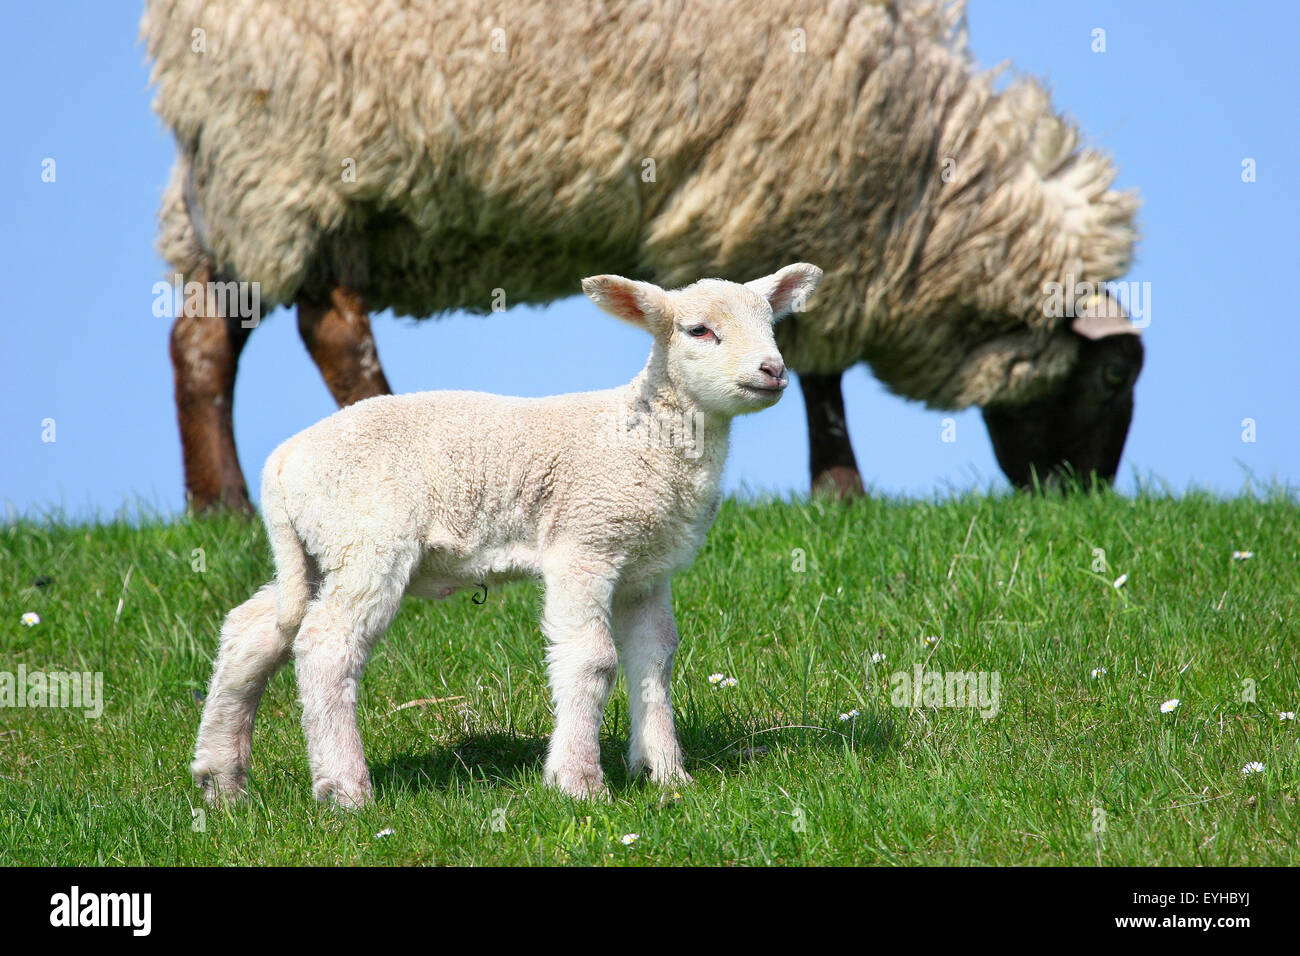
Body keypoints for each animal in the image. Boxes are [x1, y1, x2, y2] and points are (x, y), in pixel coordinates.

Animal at [143, 0, 1142, 509]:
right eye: (1112, 378)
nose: (1083, 498)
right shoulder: (798, 193)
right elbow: (816, 364)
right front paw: (841, 489)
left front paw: (836, 486)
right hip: (301, 158)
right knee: (333, 325)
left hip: (232, 189)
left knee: (203, 338)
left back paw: (219, 504)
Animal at [191, 264, 823, 806]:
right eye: (699, 330)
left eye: (771, 323)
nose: (773, 370)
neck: (644, 435)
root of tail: (283, 459)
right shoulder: (584, 542)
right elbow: (592, 659)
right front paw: (578, 782)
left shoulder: (646, 570)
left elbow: (654, 660)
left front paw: (666, 774)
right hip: (368, 539)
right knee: (326, 644)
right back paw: (346, 791)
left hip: (317, 549)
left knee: (257, 628)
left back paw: (221, 780)